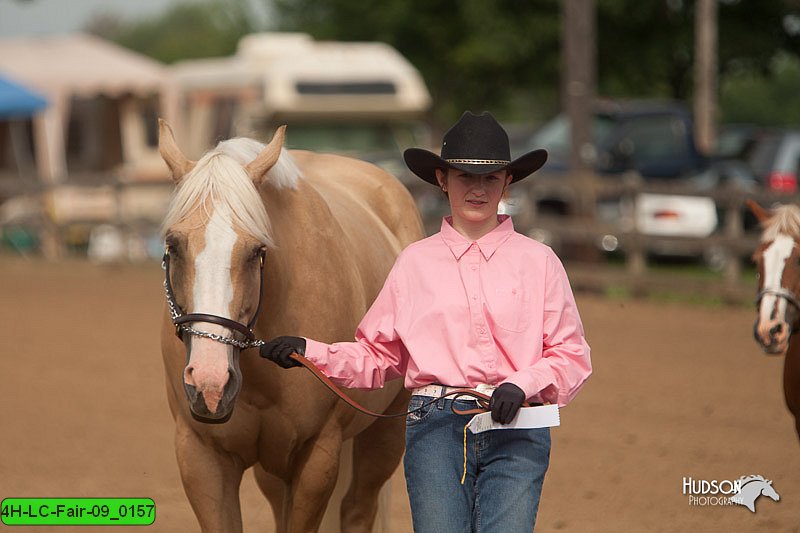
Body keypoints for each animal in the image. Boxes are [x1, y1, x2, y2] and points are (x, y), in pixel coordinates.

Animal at [155, 120, 424, 532]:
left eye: (257, 251)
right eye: (174, 244)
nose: (210, 384)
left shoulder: (317, 455)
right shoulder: (202, 456)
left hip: (384, 434)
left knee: (358, 509)